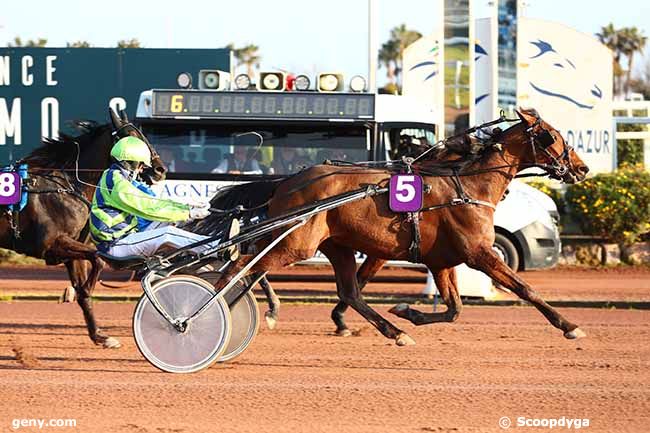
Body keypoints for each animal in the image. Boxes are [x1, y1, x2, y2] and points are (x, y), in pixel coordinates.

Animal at [1, 109, 167, 348]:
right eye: (131, 136)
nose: (160, 169)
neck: (66, 186)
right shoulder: (52, 244)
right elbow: (97, 260)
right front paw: (75, 292)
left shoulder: (73, 248)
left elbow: (85, 286)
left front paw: (100, 336)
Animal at [196, 109, 588, 344]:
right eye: (552, 136)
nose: (581, 168)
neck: (466, 186)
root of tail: (286, 182)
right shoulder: (479, 254)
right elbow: (525, 288)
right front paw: (569, 326)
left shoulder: (441, 261)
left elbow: (454, 310)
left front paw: (406, 312)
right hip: (295, 242)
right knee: (241, 266)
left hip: (334, 245)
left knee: (347, 291)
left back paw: (395, 330)